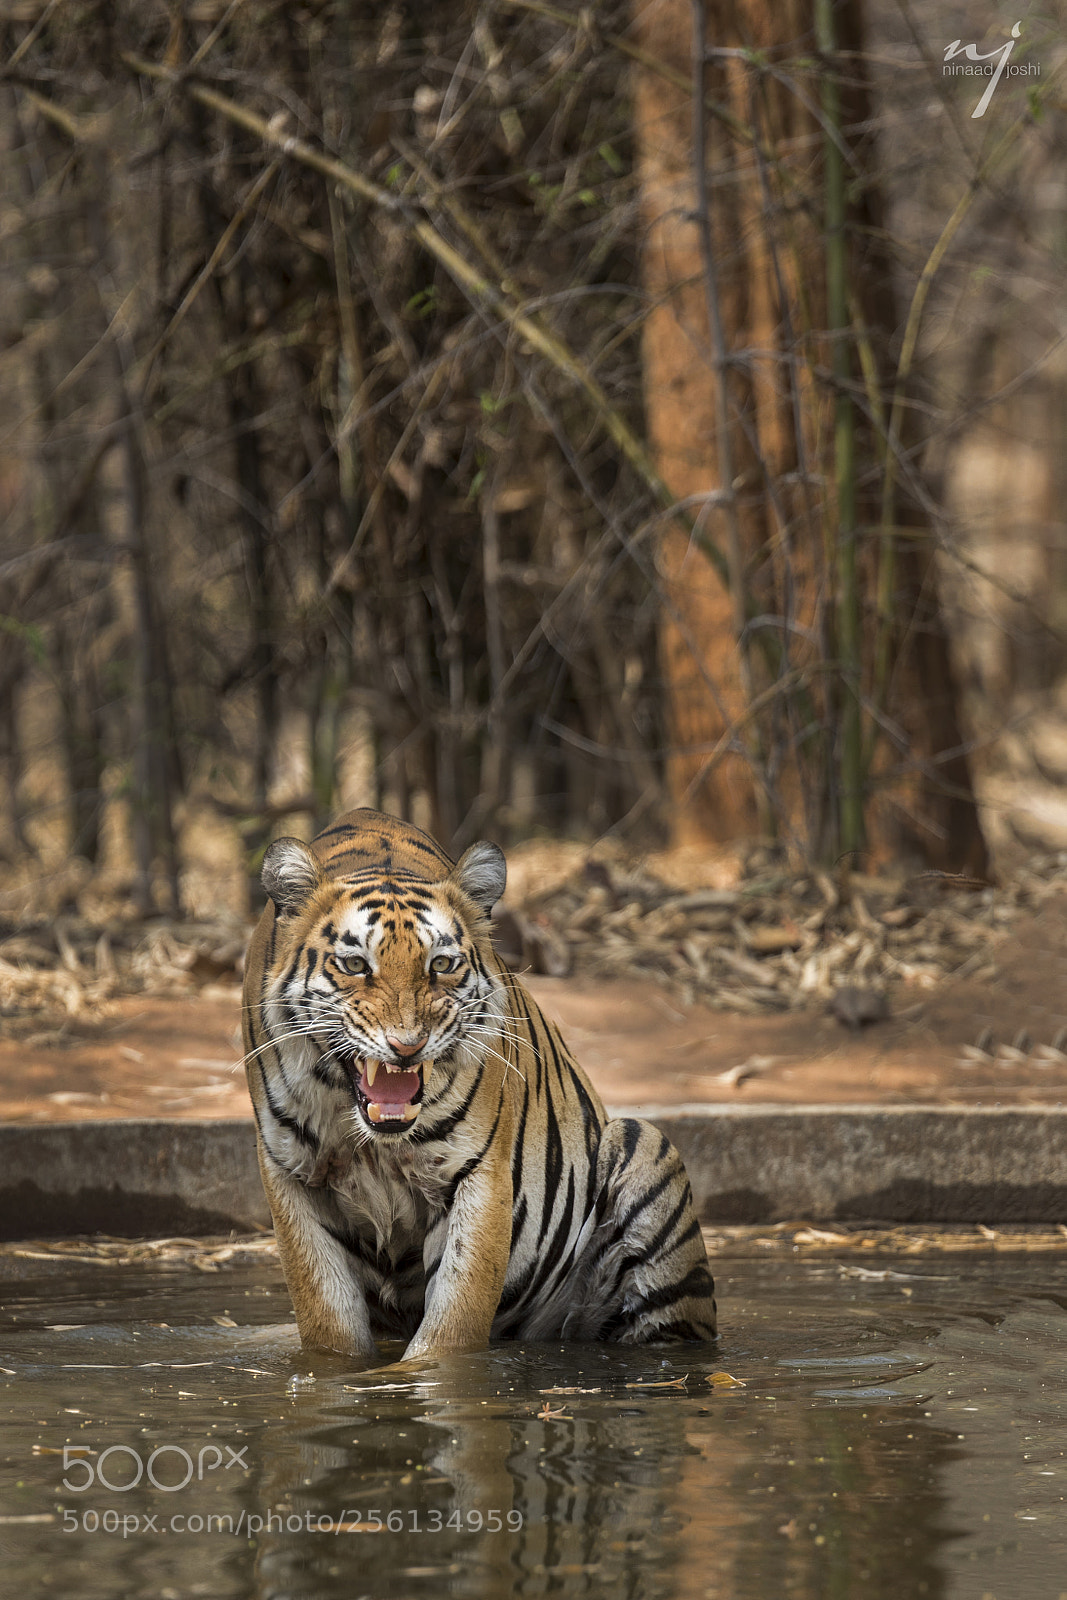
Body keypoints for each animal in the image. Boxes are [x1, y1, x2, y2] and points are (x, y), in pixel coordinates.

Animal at [243, 808, 717, 1362]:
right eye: (356, 964)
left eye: (441, 965)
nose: (407, 1045)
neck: (374, 1143)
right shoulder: (292, 1175)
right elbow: (329, 1325)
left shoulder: (477, 1172)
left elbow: (453, 1327)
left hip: (644, 1146)